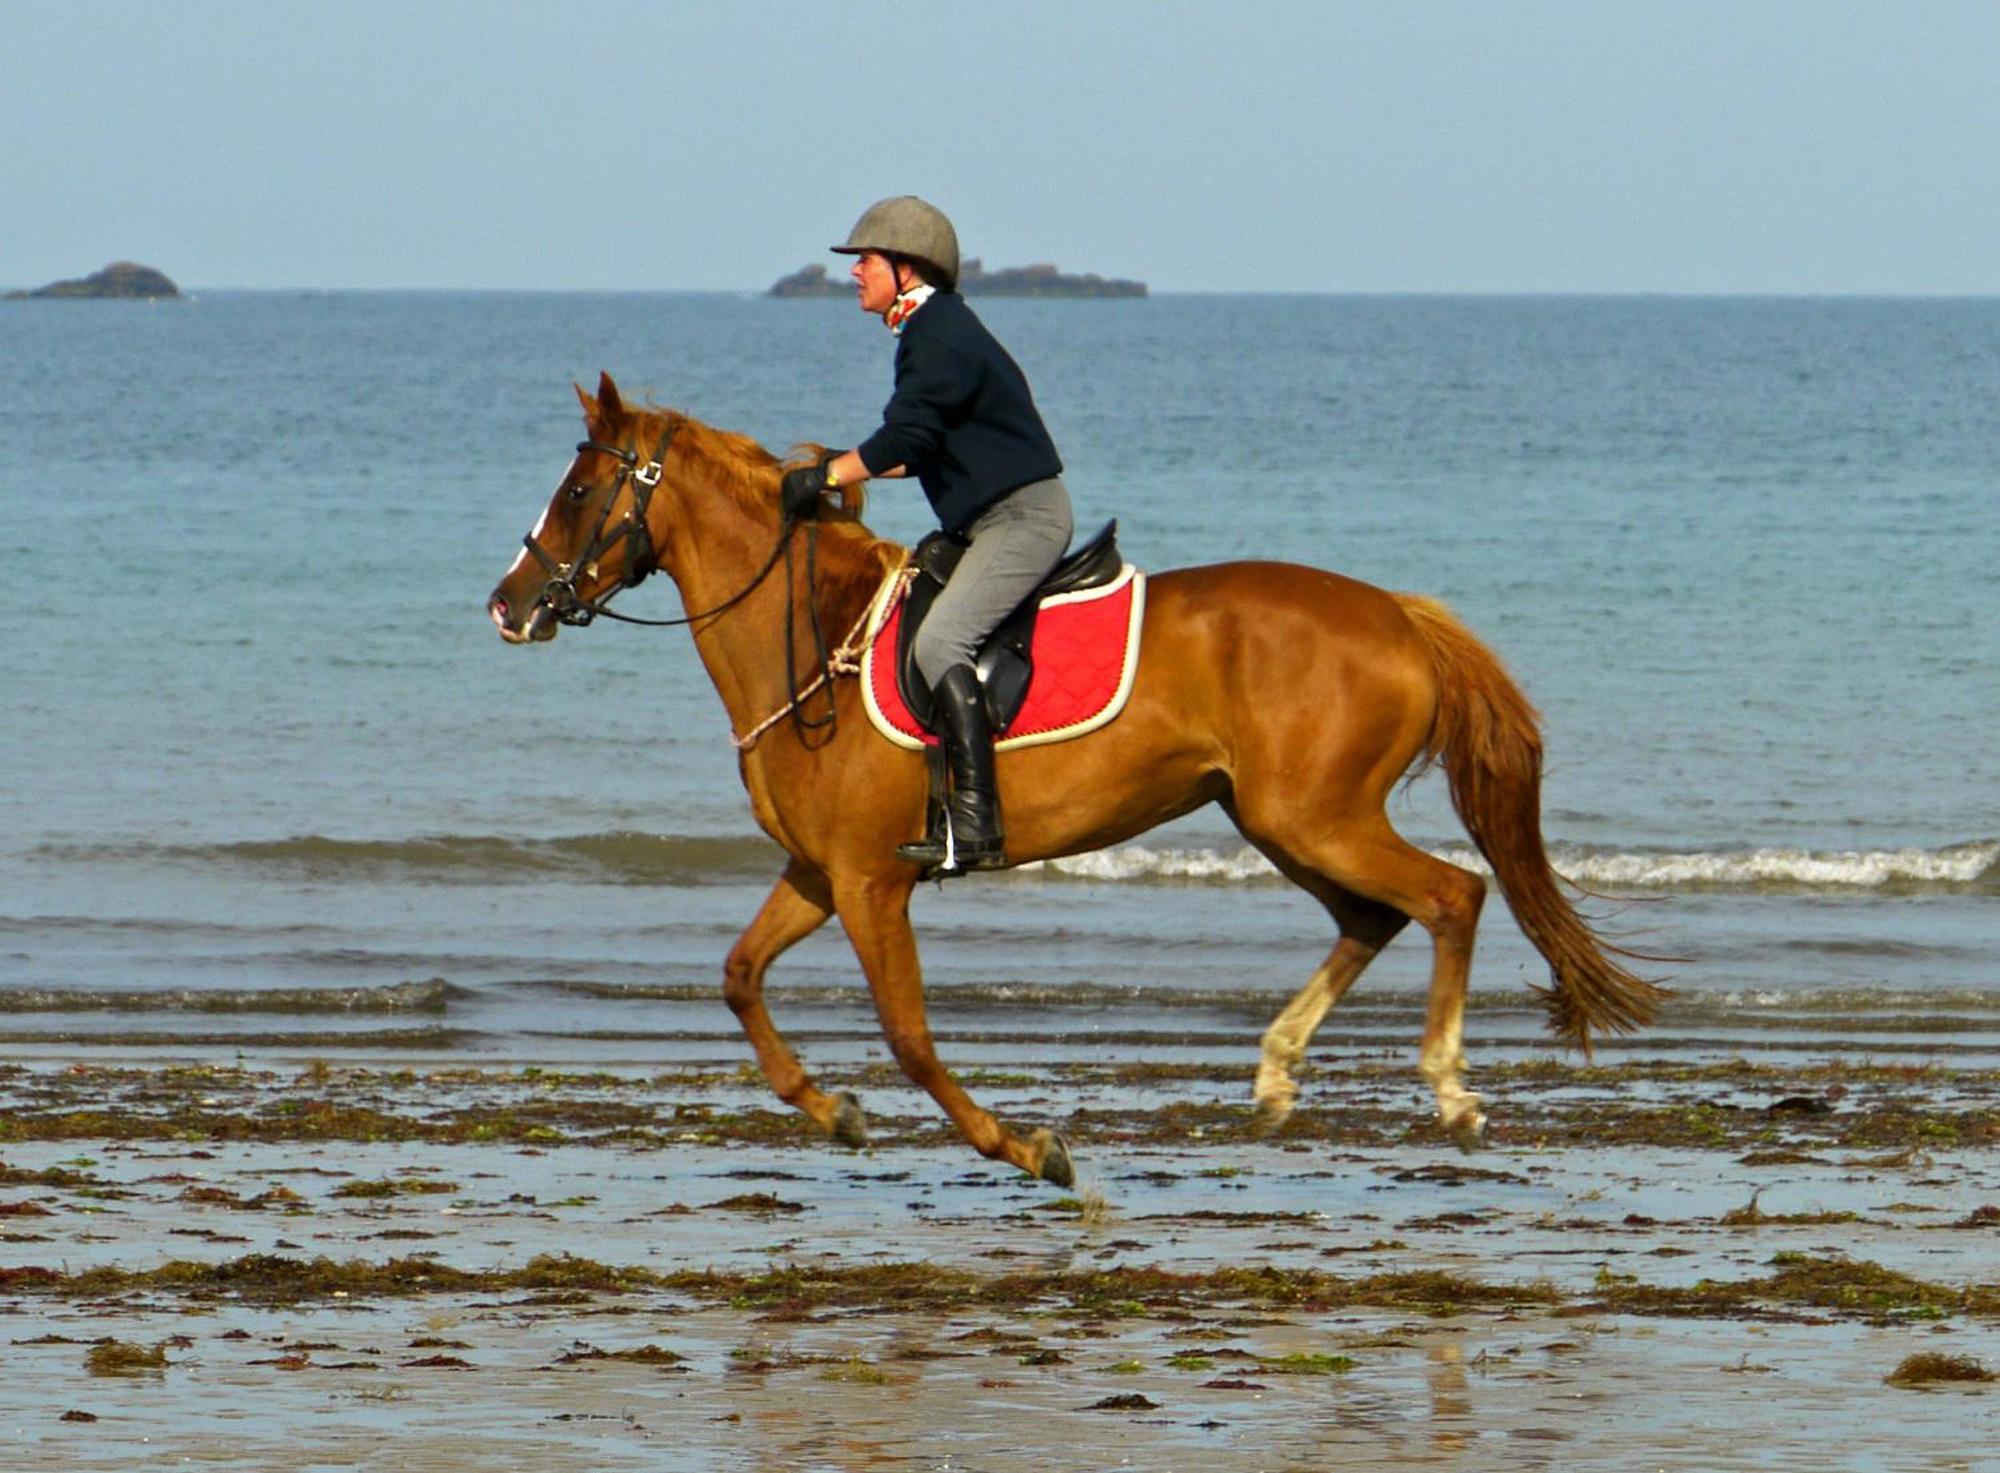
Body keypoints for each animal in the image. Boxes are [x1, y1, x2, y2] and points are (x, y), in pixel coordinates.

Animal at [484, 376, 1656, 1184]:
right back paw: (1277, 1070)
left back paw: (1448, 1091)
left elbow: (910, 1038)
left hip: (1314, 817)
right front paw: (831, 1110)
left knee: (1451, 894)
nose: (507, 605)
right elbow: (737, 978)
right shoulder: (820, 874)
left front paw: (1023, 1145)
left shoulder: (871, 883)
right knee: (1372, 917)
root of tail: (1398, 615)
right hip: (1277, 820)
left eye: (579, 490)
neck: (811, 632)